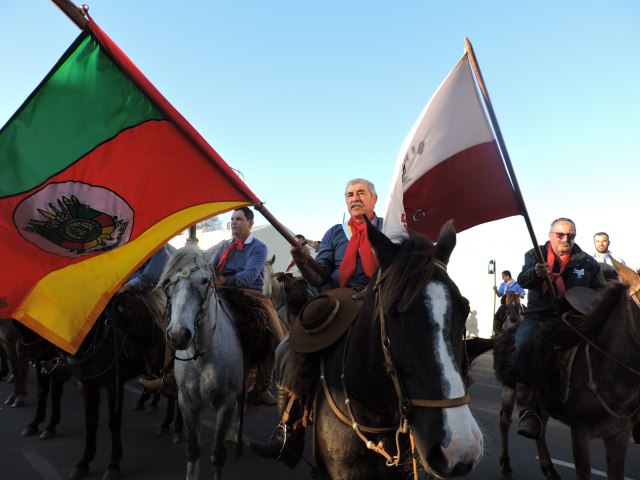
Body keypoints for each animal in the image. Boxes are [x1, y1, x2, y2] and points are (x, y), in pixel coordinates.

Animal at [160, 246, 245, 478]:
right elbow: (193, 449)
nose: (178, 335)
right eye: (167, 282)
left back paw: (233, 436)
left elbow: (217, 454)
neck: (201, 358)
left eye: (206, 280)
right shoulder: (186, 402)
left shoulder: (225, 403)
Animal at [496, 258, 640, 480]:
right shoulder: (580, 432)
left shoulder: (619, 434)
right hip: (509, 388)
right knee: (504, 421)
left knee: (540, 427)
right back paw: (505, 462)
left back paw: (549, 468)